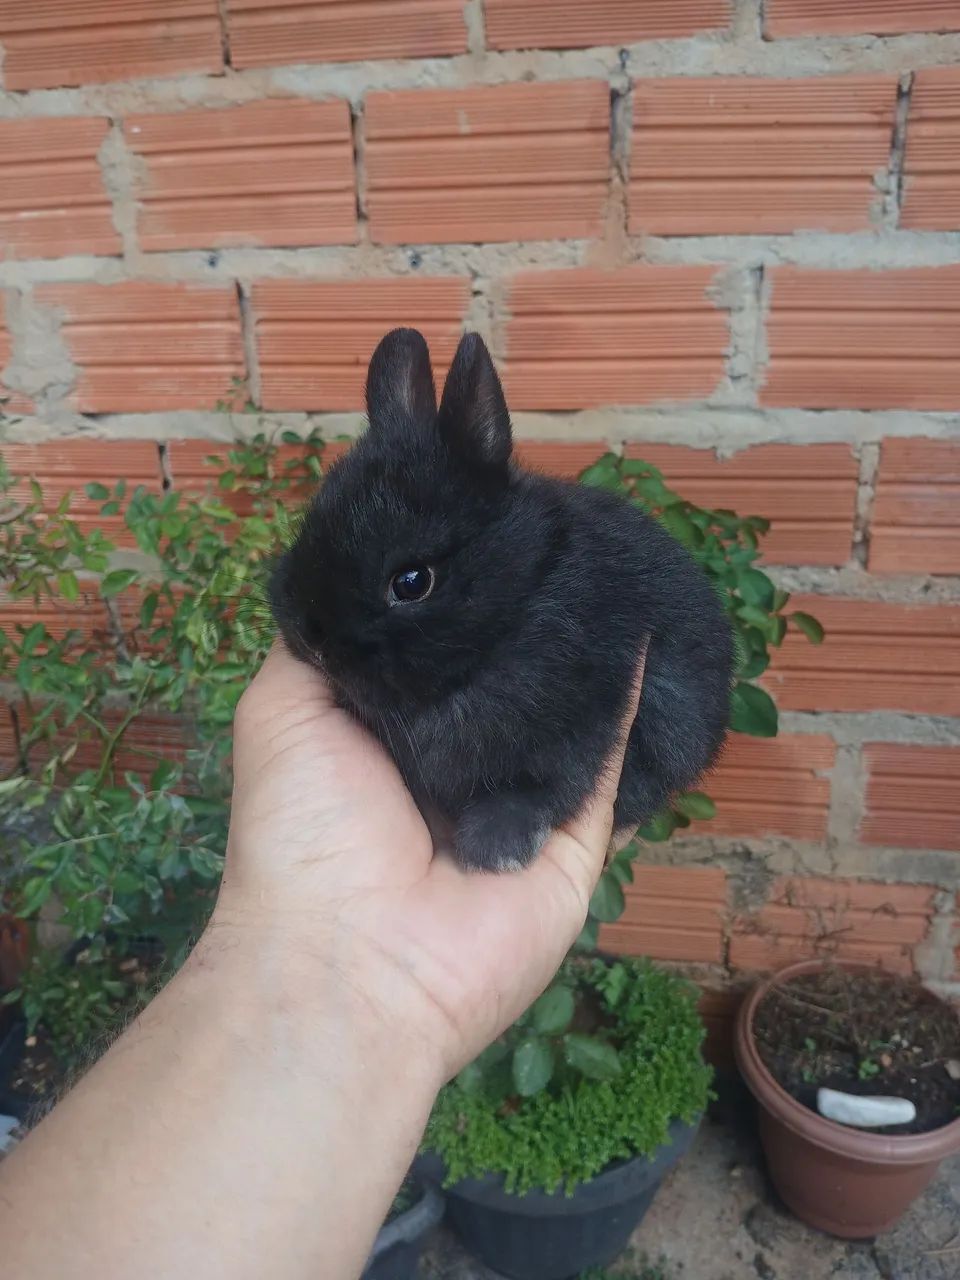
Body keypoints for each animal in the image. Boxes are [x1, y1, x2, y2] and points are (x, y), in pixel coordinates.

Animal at [269, 328, 734, 873]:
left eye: (412, 582)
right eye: (310, 524)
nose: (310, 638)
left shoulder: (594, 719)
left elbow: (546, 784)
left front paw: (496, 845)